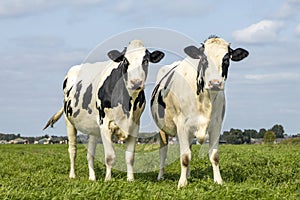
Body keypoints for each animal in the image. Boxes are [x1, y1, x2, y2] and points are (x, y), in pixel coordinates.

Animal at [43, 39, 164, 182]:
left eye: (145, 60)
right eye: (125, 61)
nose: (135, 82)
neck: (127, 103)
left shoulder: (134, 125)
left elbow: (130, 157)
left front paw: (130, 179)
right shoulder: (105, 124)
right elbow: (110, 156)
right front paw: (108, 179)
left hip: (93, 128)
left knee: (90, 154)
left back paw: (92, 177)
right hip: (70, 121)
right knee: (72, 150)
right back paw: (72, 175)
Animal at [150, 35, 248, 188]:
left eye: (226, 59)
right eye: (204, 59)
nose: (215, 83)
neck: (205, 100)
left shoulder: (216, 125)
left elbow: (214, 156)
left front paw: (218, 181)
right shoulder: (182, 125)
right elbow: (184, 157)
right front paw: (182, 183)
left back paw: (188, 175)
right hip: (162, 128)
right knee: (163, 151)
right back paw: (161, 176)